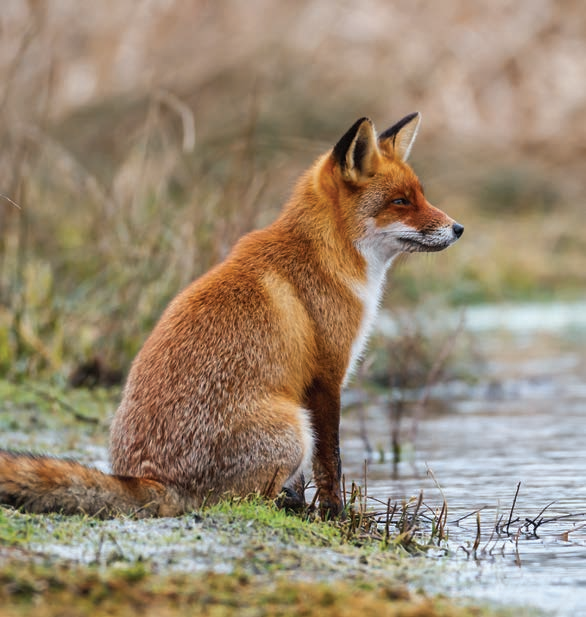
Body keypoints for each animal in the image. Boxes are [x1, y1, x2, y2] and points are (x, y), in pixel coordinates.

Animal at [0, 113, 460, 516]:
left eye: (421, 196)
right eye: (400, 202)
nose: (458, 229)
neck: (326, 254)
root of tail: (152, 479)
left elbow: (311, 474)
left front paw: (313, 505)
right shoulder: (326, 379)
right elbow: (331, 462)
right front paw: (335, 512)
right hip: (293, 426)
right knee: (246, 500)